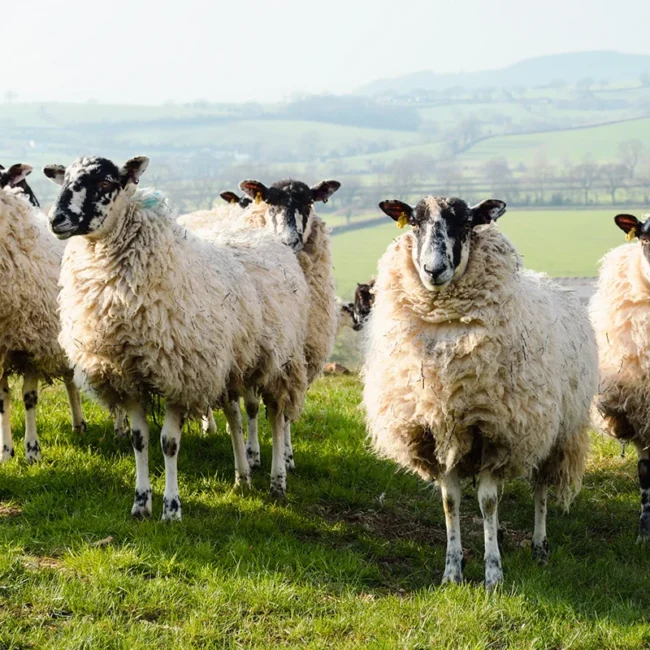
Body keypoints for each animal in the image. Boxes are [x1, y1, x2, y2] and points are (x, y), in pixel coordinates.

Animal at [45, 156, 309, 518]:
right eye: (64, 180)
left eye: (105, 183)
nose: (56, 219)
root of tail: (265, 236)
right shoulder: (129, 378)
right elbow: (139, 440)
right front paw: (140, 504)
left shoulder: (179, 376)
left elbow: (168, 444)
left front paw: (171, 508)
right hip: (233, 366)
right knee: (237, 418)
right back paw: (242, 477)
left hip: (281, 360)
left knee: (277, 417)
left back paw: (277, 481)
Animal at [362, 196, 598, 589]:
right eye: (414, 222)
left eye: (466, 222)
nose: (433, 269)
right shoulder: (438, 431)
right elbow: (450, 502)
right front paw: (452, 572)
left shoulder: (495, 432)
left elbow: (488, 501)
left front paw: (493, 574)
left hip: (552, 431)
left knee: (540, 489)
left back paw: (539, 546)